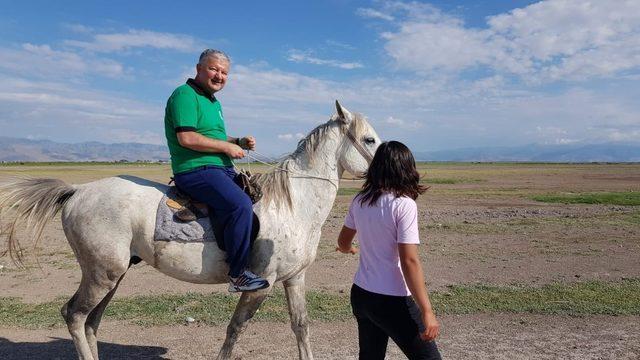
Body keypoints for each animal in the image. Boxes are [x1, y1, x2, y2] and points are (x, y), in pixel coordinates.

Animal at [0, 102, 380, 360]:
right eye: (370, 139)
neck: (292, 204)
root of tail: (77, 192)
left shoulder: (294, 278)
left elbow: (301, 326)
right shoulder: (261, 283)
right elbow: (235, 329)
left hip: (111, 274)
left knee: (91, 321)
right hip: (101, 273)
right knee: (75, 316)